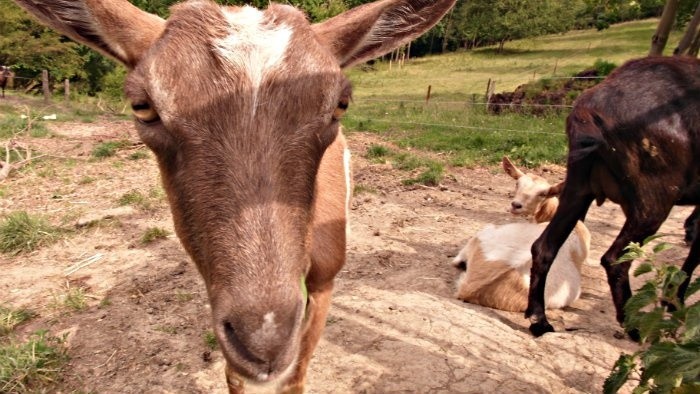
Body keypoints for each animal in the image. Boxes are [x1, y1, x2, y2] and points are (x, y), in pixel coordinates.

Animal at [13, 0, 456, 390]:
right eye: (142, 107)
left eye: (340, 105)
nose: (264, 340)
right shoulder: (221, 301)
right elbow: (235, 374)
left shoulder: (324, 280)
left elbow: (297, 372)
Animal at [532, 56, 700, 338]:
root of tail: (590, 108)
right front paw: (674, 305)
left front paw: (673, 303)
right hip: (653, 201)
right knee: (615, 260)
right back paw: (633, 327)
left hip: (578, 189)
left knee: (544, 247)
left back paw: (539, 320)